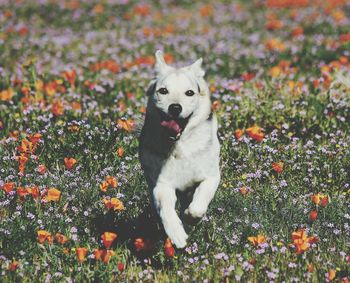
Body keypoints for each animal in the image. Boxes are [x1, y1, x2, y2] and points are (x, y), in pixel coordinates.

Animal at [139, 51, 219, 248]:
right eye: (163, 91)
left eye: (189, 93)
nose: (175, 107)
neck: (178, 145)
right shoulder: (162, 183)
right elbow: (166, 208)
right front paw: (177, 234)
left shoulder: (211, 176)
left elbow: (200, 200)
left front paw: (191, 217)